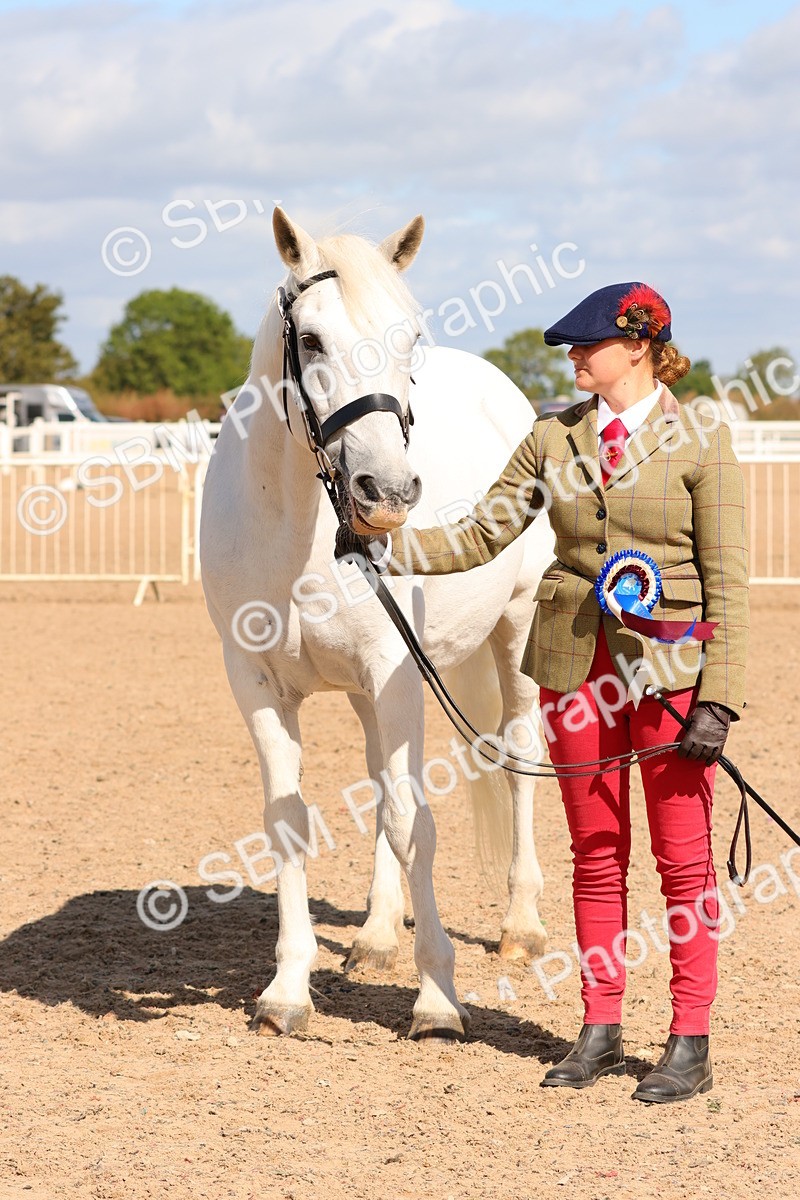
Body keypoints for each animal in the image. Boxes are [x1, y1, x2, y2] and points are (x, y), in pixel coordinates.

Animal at [199, 207, 556, 1040]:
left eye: (409, 337)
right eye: (312, 339)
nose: (386, 492)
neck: (301, 529)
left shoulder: (395, 676)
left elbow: (409, 818)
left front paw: (438, 999)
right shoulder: (257, 684)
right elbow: (291, 820)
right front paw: (287, 990)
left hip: (516, 634)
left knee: (519, 756)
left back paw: (520, 925)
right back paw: (376, 934)